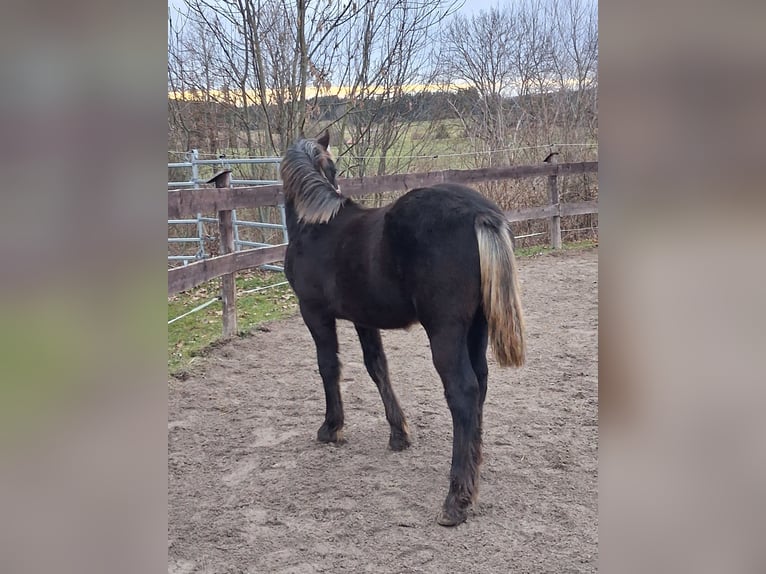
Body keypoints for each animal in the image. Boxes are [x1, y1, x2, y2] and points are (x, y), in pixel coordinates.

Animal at [280, 131, 526, 526]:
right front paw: (399, 433)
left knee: (463, 391)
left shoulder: (314, 313)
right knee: (482, 383)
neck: (315, 226)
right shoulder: (364, 318)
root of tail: (481, 213)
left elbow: (328, 367)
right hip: (477, 326)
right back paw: (473, 472)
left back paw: (456, 499)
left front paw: (331, 427)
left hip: (445, 331)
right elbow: (377, 368)